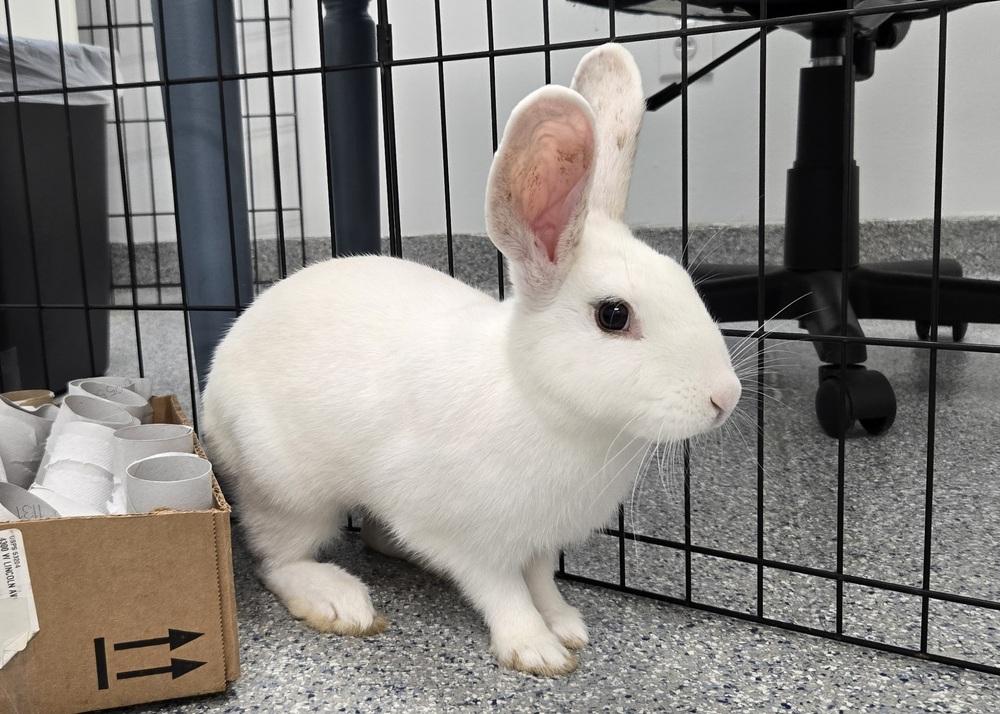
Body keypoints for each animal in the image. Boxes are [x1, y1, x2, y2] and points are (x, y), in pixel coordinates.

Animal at [201, 43, 741, 677]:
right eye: (614, 315)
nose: (725, 397)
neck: (543, 403)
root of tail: (211, 393)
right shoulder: (469, 537)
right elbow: (502, 590)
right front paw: (536, 649)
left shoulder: (539, 540)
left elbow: (541, 581)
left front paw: (567, 625)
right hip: (288, 490)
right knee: (278, 559)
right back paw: (339, 602)